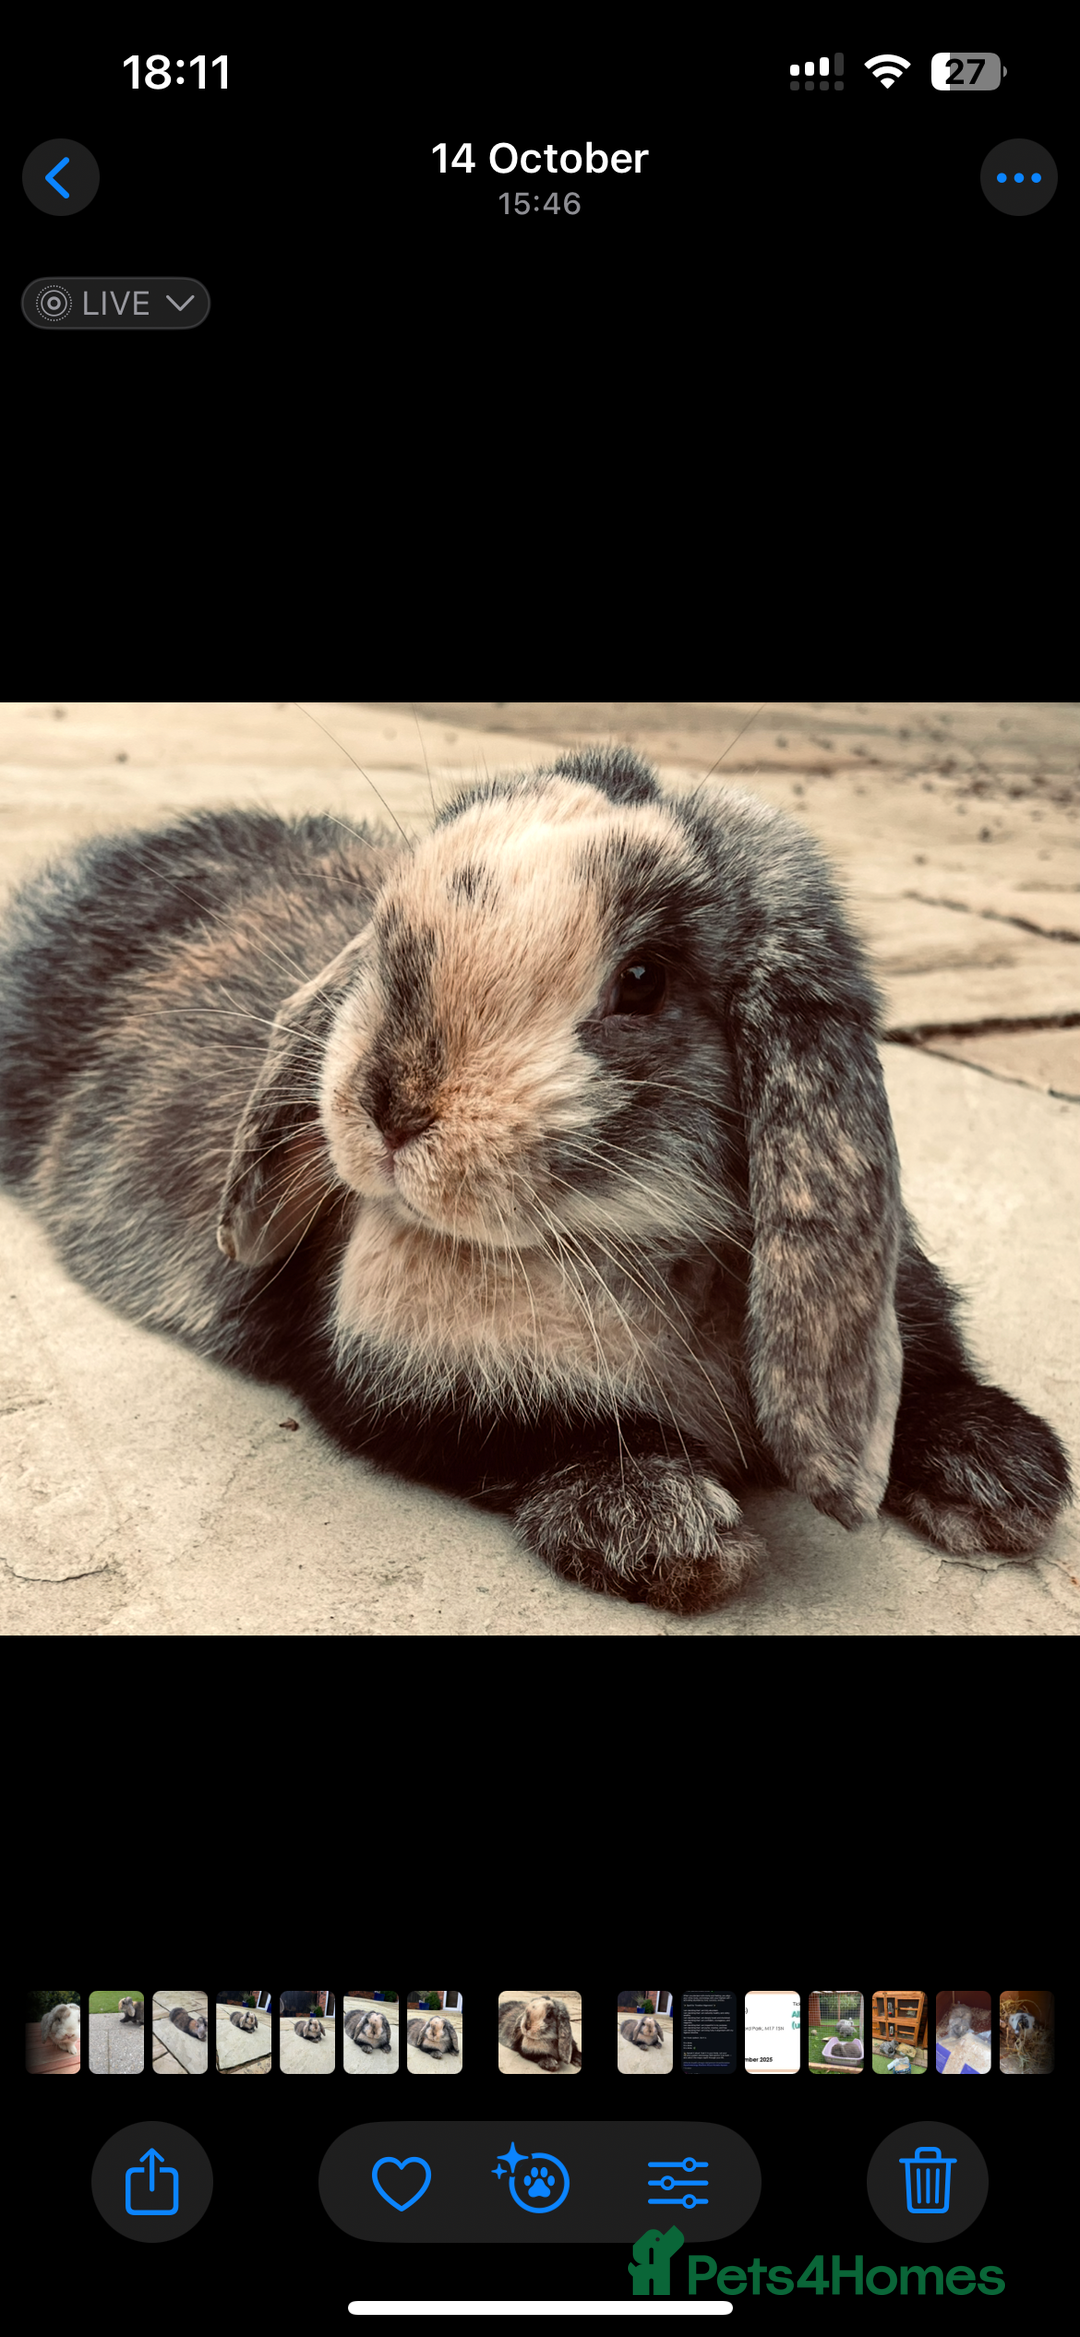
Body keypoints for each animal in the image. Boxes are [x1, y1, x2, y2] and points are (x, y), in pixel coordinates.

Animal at [0, 749, 1070, 1617]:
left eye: (643, 979)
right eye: (388, 935)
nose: (390, 1104)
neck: (637, 1245)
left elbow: (928, 1379)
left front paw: (1007, 1476)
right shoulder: (420, 1387)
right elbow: (549, 1441)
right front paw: (670, 1529)